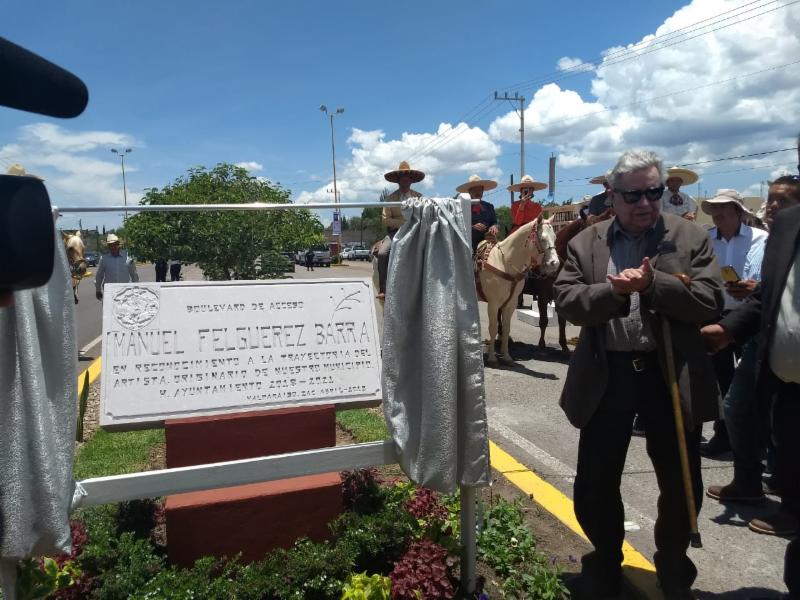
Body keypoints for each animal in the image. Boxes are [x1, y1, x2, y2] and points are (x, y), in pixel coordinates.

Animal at [478, 216, 560, 366]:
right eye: (542, 238)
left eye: (555, 237)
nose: (554, 263)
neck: (503, 263)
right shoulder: (493, 303)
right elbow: (493, 328)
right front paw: (492, 358)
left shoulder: (511, 304)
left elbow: (506, 328)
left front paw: (506, 356)